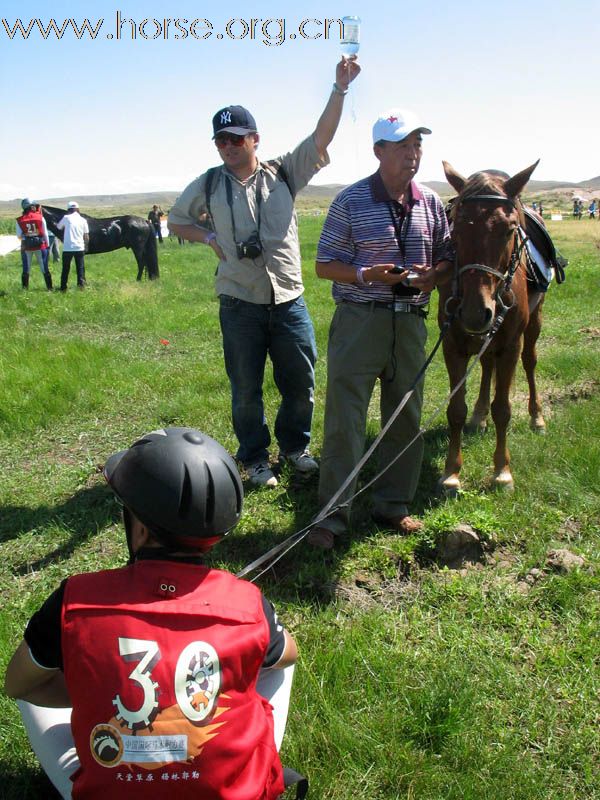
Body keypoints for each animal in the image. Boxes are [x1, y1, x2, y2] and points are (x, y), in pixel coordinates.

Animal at [438, 159, 548, 490]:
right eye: (455, 225)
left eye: (509, 228)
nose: (476, 311)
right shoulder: (453, 345)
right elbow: (455, 409)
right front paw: (451, 473)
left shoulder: (510, 345)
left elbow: (503, 409)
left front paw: (502, 472)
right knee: (487, 365)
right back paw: (479, 415)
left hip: (533, 325)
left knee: (530, 362)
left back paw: (537, 417)